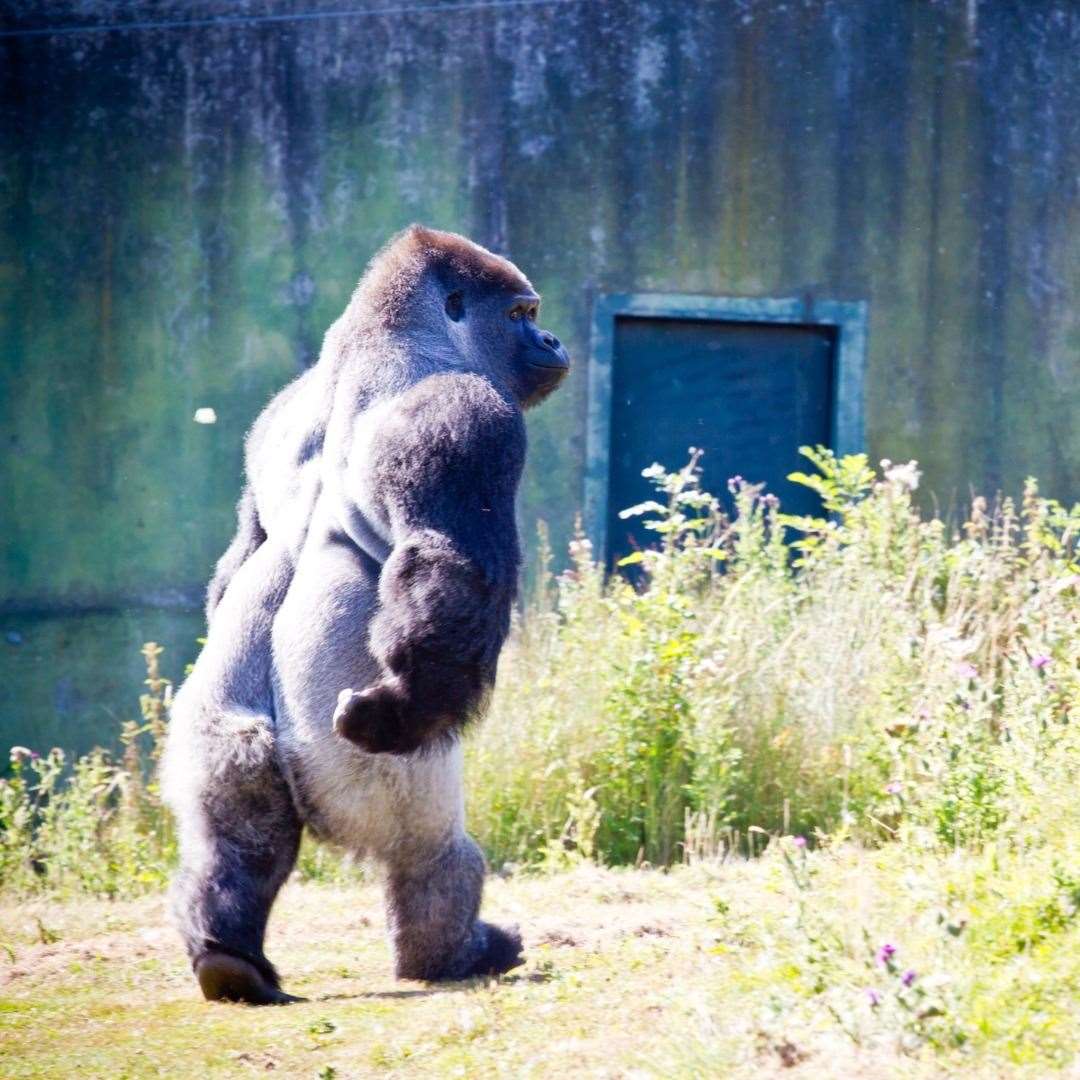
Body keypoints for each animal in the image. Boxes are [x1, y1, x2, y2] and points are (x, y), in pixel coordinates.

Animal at [162, 225, 565, 1002]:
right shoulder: (465, 411)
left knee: (234, 836)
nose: (553, 338)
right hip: (366, 776)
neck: (378, 338)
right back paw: (455, 953)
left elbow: (242, 552)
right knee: (433, 852)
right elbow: (450, 566)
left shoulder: (270, 417)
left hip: (217, 737)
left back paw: (229, 959)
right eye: (521, 314)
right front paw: (397, 708)